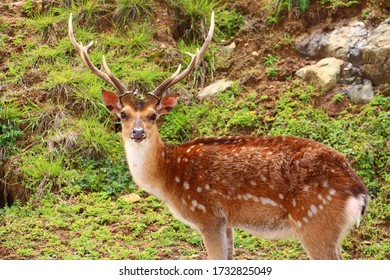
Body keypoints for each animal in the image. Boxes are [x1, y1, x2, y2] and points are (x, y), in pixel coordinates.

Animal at [68, 12, 370, 260]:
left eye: (154, 115)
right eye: (123, 114)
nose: (138, 133)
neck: (168, 180)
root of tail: (360, 192)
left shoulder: (207, 215)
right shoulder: (227, 223)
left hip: (315, 222)